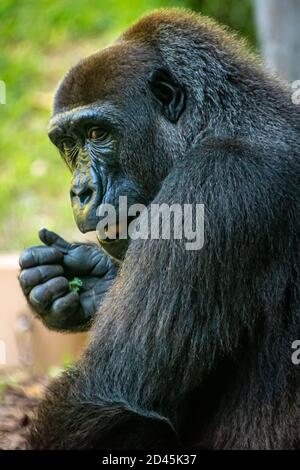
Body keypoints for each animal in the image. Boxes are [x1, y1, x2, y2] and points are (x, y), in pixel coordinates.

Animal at [18, 7, 300, 448]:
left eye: (98, 133)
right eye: (68, 143)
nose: (80, 191)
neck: (213, 122)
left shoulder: (212, 185)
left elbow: (109, 392)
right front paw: (88, 280)